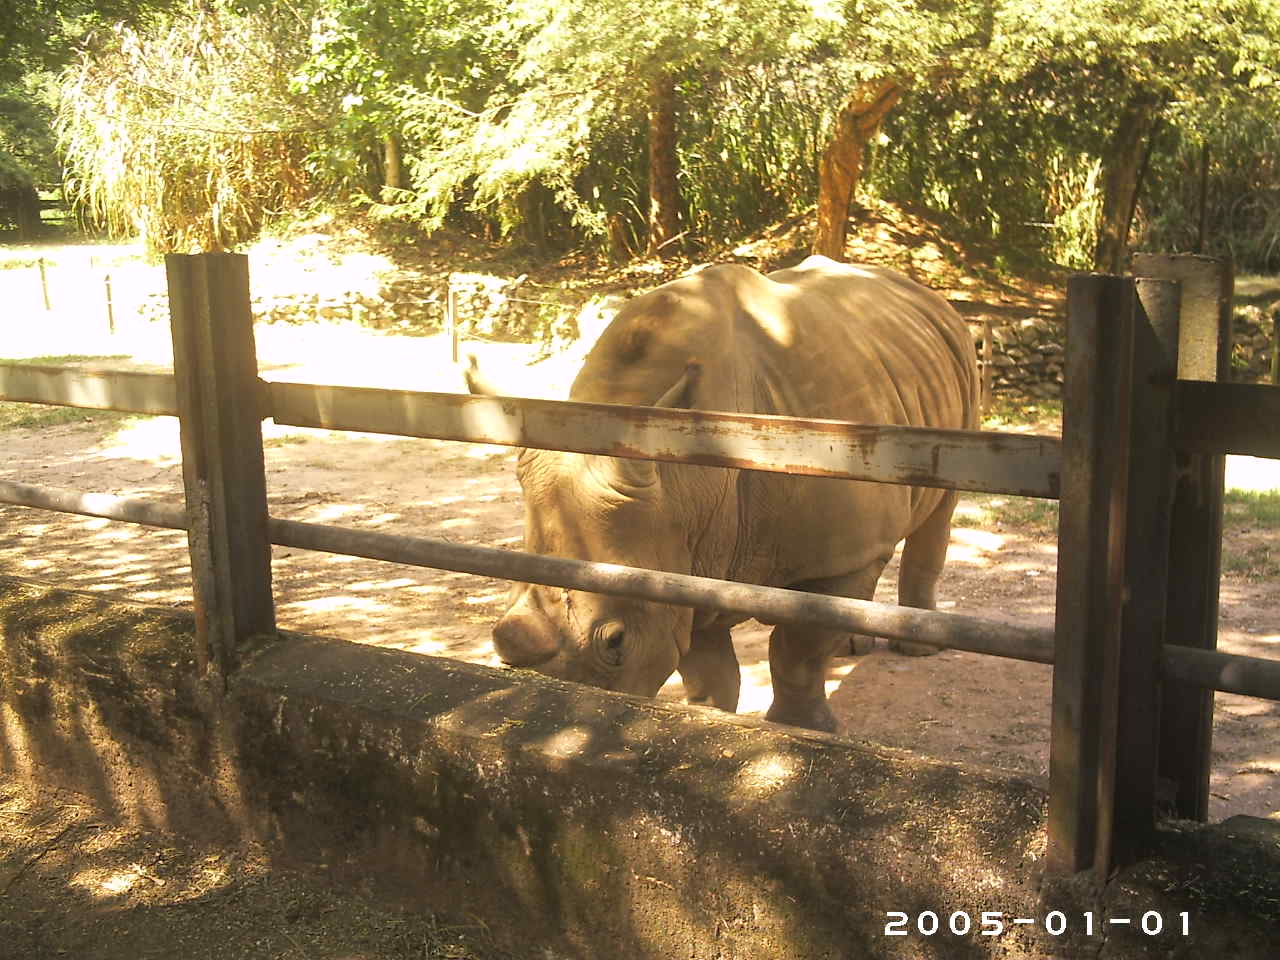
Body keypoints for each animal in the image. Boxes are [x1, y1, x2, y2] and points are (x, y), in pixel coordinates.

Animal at [467, 255, 978, 732]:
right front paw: (708, 718)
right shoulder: (685, 549)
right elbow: (705, 661)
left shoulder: (835, 554)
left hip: (957, 367)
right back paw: (852, 648)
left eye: (616, 642)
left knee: (939, 509)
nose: (555, 718)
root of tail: (922, 291)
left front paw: (802, 729)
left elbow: (796, 649)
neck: (686, 481)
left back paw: (917, 650)